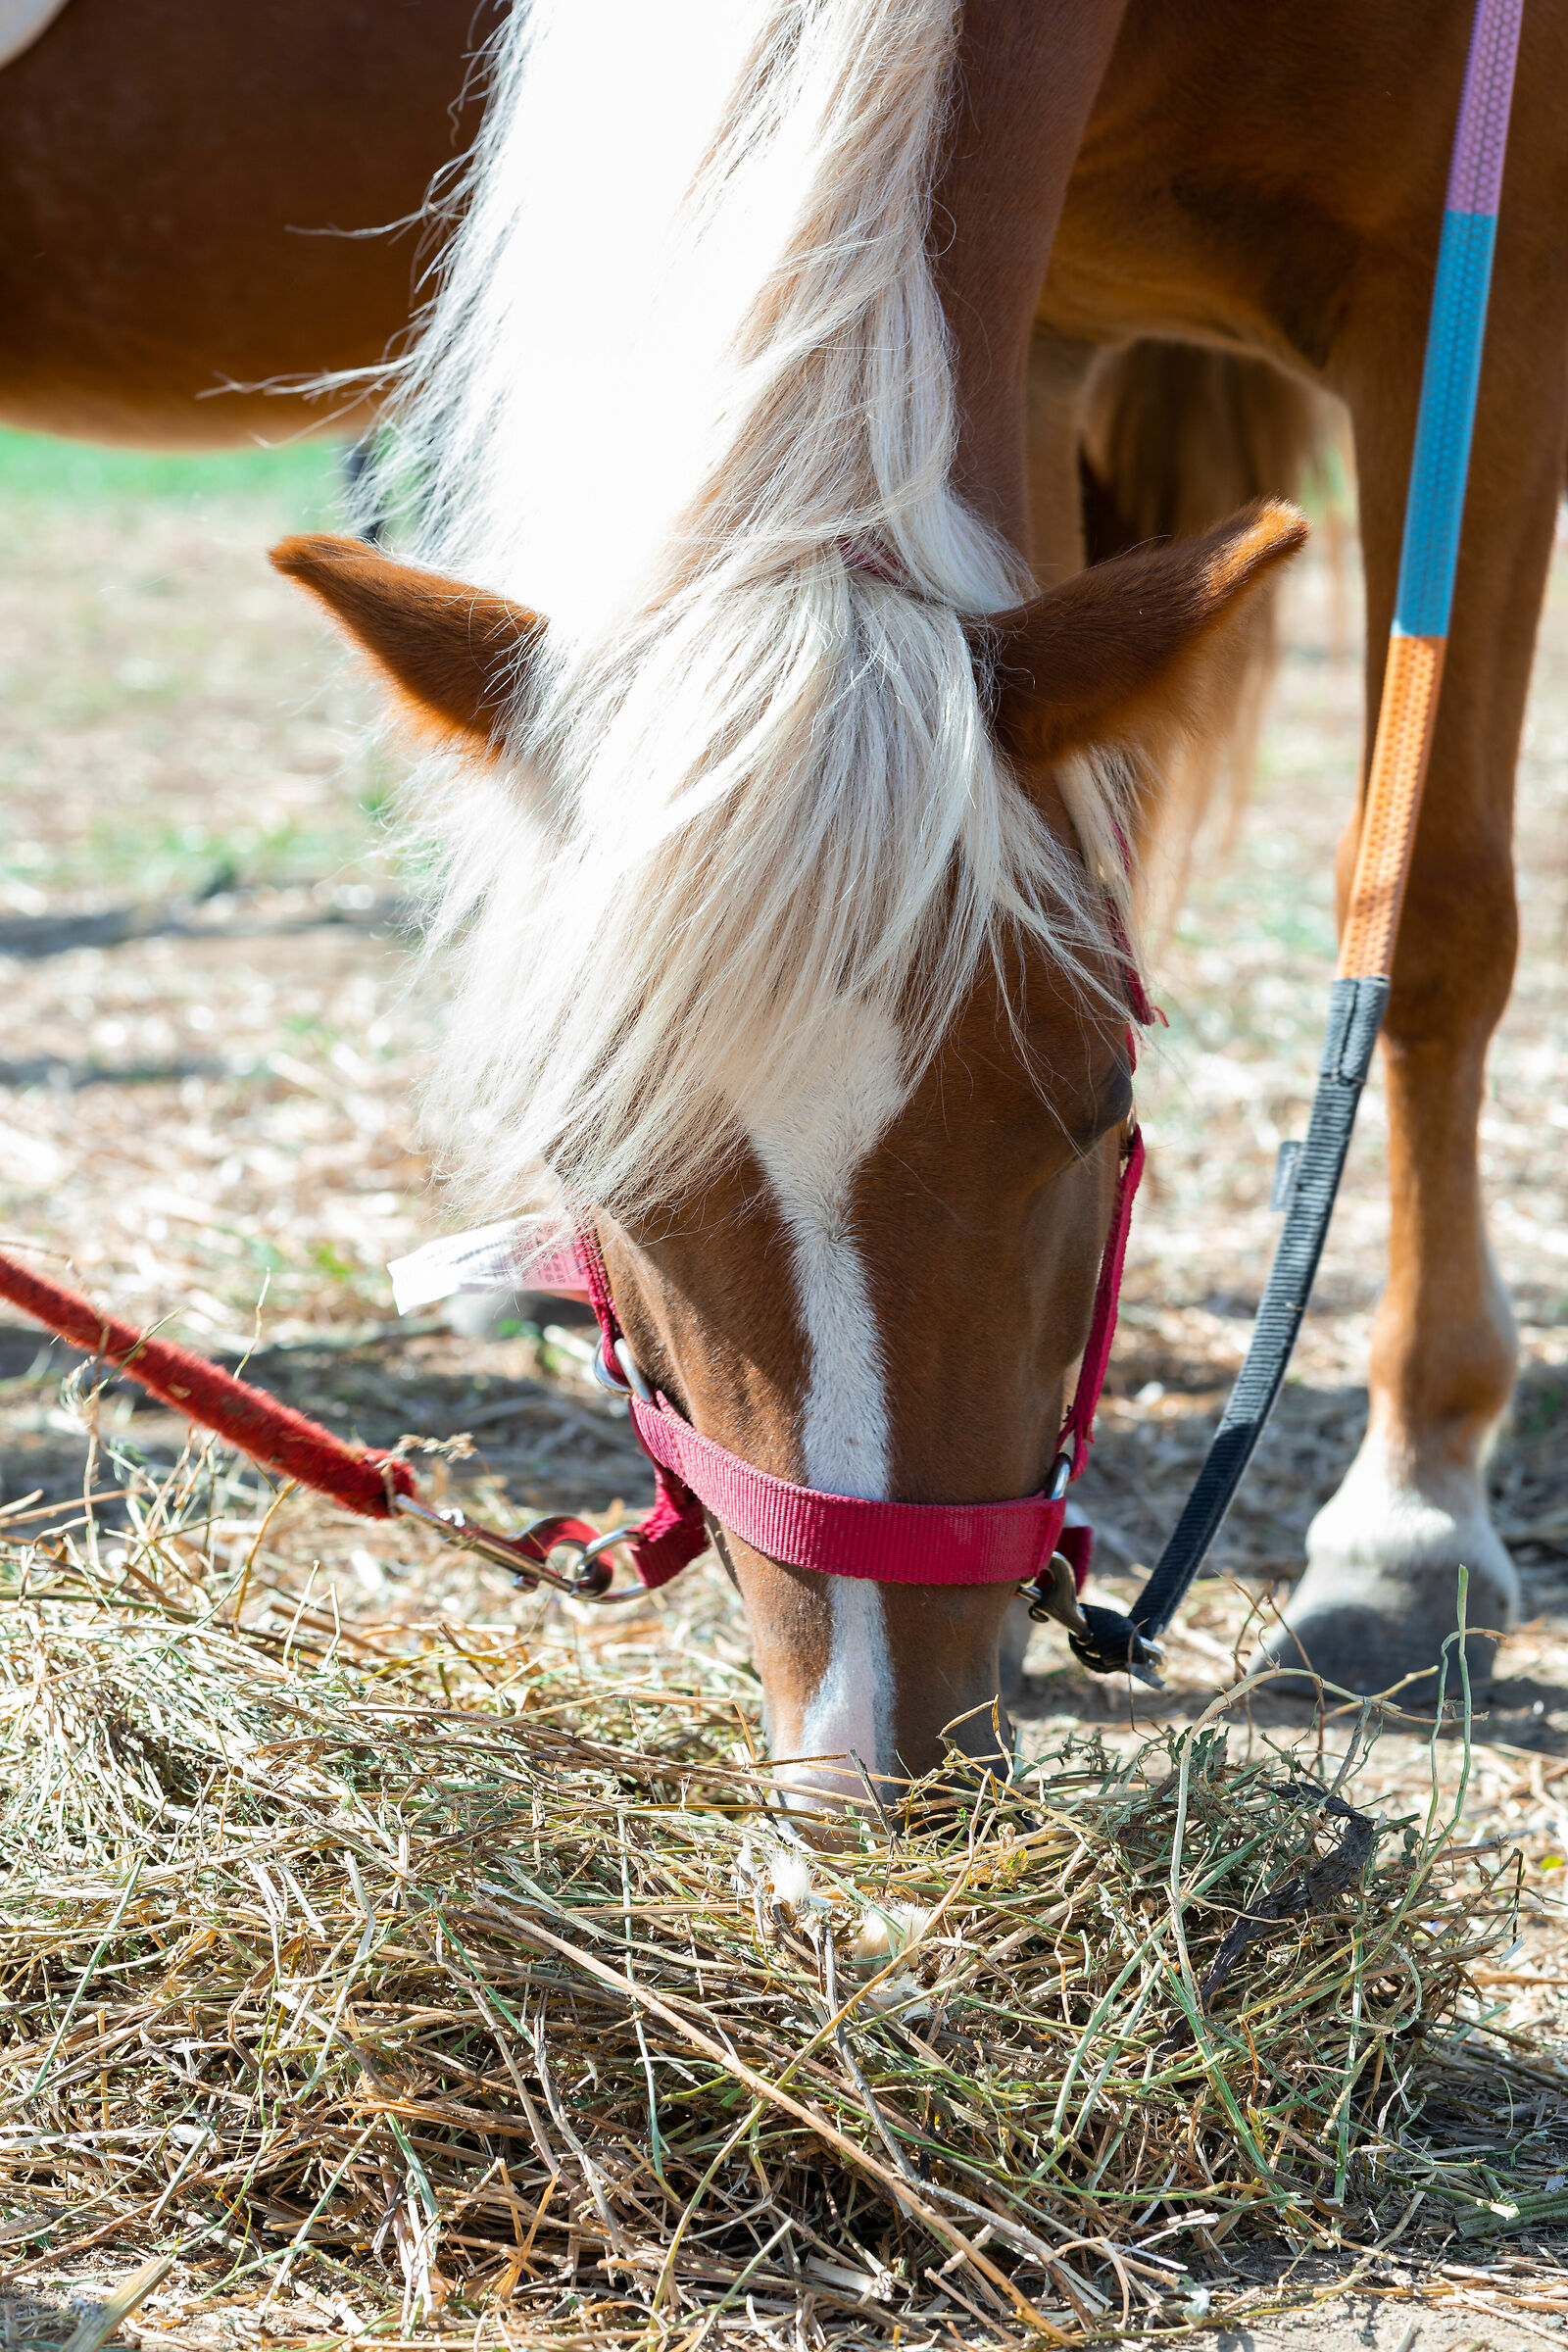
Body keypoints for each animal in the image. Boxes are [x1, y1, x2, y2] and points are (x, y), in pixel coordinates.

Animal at [265, 0, 1561, 1784]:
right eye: (589, 1160)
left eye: (1102, 1111)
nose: (869, 1773)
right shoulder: (1045, 330)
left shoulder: (1483, 294)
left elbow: (1427, 915)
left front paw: (1413, 1520)